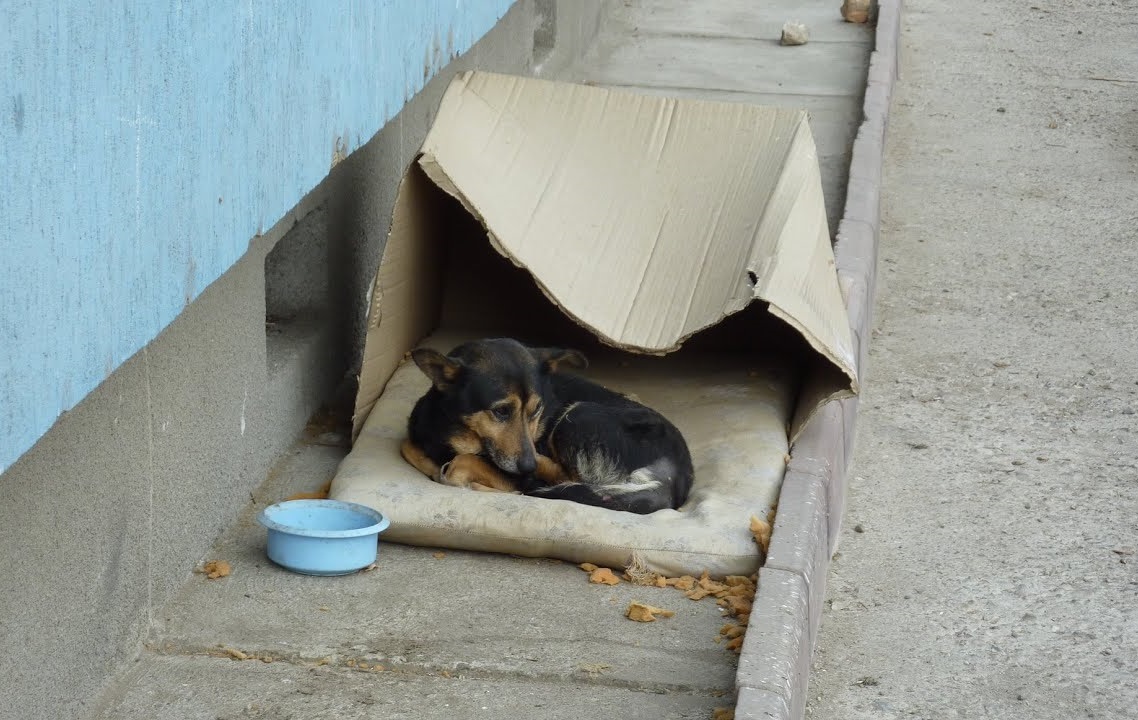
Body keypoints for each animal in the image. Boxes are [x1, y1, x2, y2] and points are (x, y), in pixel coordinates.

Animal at [405, 336, 696, 511]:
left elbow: (460, 464)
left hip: (580, 416)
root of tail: (675, 475)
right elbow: (409, 448)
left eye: (537, 410)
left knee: (567, 477)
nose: (528, 466)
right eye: (501, 411)